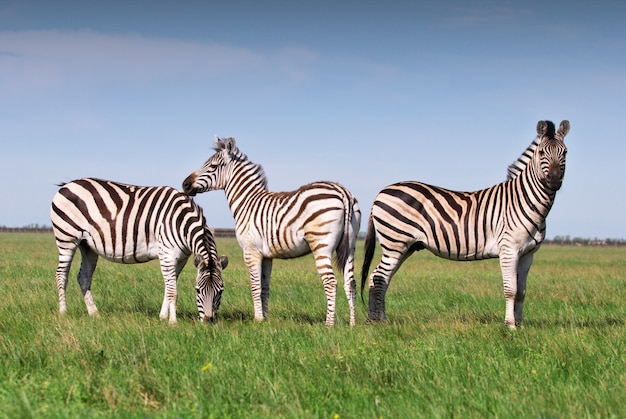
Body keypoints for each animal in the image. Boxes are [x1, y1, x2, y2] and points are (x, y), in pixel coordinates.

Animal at [50, 177, 228, 324]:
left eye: (220, 291)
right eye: (198, 290)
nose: (209, 321)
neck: (181, 221)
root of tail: (67, 185)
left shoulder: (181, 258)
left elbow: (169, 286)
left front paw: (162, 317)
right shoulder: (167, 254)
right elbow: (172, 291)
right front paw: (172, 322)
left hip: (87, 245)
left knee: (84, 277)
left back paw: (94, 313)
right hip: (67, 238)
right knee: (61, 275)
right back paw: (63, 312)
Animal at [180, 138, 360, 328]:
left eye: (213, 166)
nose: (185, 184)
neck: (247, 202)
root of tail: (343, 192)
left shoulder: (250, 252)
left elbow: (255, 286)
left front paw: (257, 319)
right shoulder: (266, 256)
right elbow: (264, 287)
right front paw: (265, 320)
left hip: (321, 245)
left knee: (331, 283)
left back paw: (329, 325)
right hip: (350, 247)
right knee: (351, 283)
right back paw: (352, 324)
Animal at [360, 120, 572, 330]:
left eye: (565, 152)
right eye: (542, 152)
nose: (554, 181)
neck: (524, 200)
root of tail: (381, 192)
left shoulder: (528, 254)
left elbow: (522, 291)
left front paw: (520, 326)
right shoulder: (509, 250)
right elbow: (511, 289)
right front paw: (510, 326)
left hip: (405, 247)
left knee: (381, 278)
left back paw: (379, 319)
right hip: (395, 243)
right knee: (378, 277)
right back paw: (376, 321)